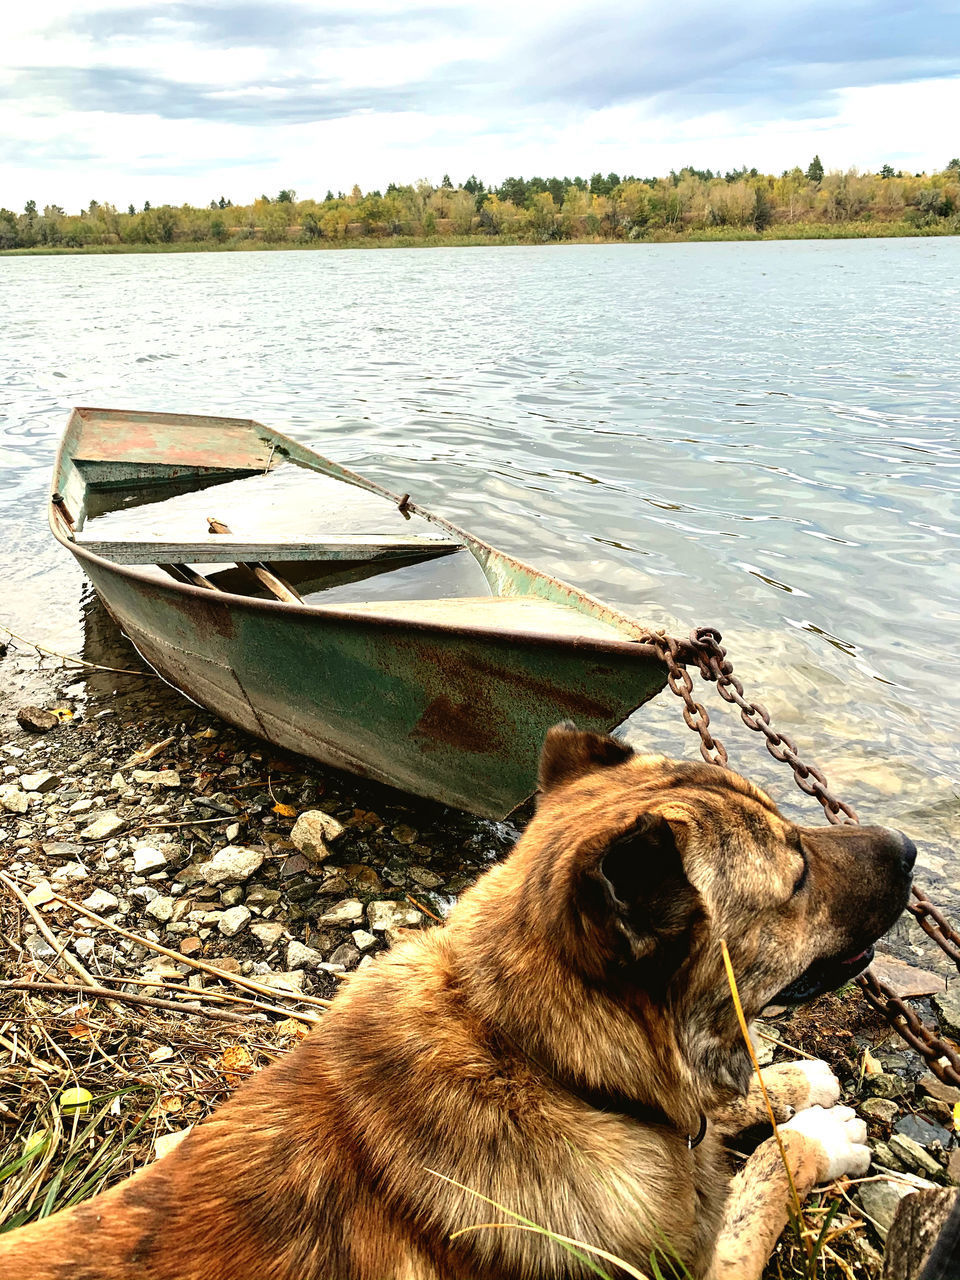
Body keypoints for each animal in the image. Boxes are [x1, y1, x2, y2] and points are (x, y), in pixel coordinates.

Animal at [0, 727, 916, 1280]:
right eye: (797, 875)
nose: (909, 847)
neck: (532, 1057)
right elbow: (763, 1183)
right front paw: (821, 1138)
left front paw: (797, 1086)